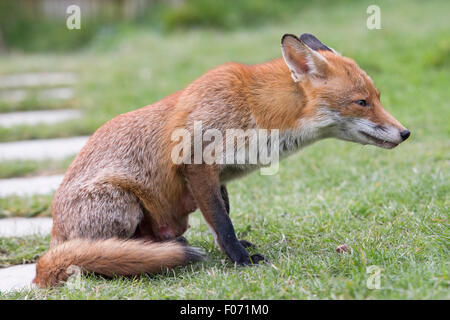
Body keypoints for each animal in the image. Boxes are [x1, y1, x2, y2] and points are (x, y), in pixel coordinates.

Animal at [33, 33, 410, 288]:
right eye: (362, 102)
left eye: (377, 97)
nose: (405, 133)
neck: (259, 114)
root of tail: (54, 237)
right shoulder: (196, 163)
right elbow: (222, 223)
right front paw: (241, 260)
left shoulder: (221, 177)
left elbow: (222, 218)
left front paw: (236, 249)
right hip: (122, 201)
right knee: (100, 254)